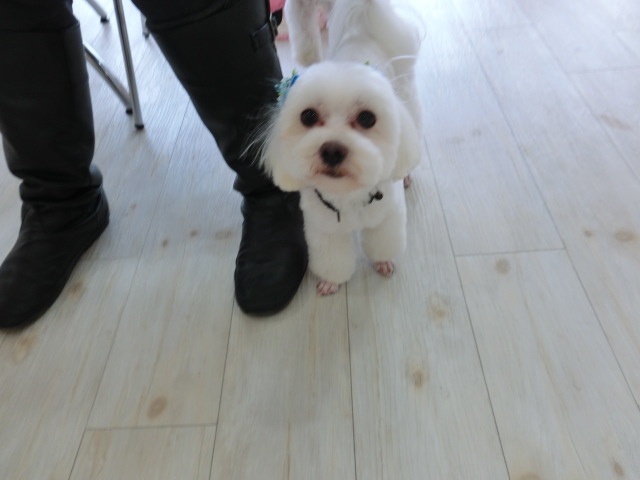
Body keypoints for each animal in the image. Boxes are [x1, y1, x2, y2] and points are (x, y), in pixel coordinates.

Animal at [261, 0, 423, 295]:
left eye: (367, 118)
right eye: (308, 116)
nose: (332, 150)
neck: (347, 196)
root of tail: (362, 26)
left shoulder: (388, 217)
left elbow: (384, 242)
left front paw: (383, 262)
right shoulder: (323, 229)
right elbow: (333, 259)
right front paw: (331, 281)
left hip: (409, 100)